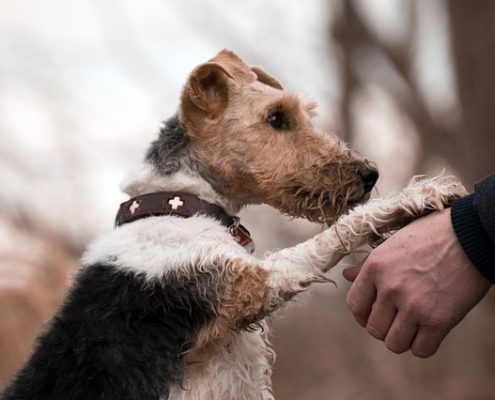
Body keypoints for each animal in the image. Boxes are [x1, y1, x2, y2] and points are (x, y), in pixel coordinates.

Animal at [0, 50, 468, 400]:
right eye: (276, 117)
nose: (369, 174)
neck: (180, 204)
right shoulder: (249, 284)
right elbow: (333, 235)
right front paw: (418, 195)